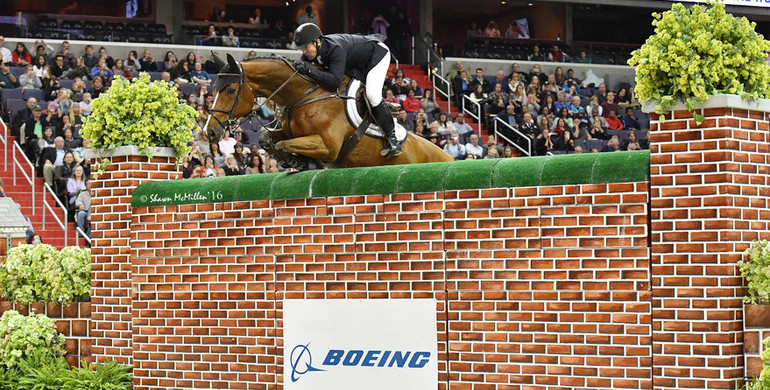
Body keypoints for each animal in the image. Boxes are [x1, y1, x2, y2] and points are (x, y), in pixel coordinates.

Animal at [206, 53, 456, 169]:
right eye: (214, 89)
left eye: (230, 90)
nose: (210, 131)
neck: (304, 96)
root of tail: (450, 158)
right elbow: (268, 139)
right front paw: (296, 162)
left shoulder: (328, 146)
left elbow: (283, 144)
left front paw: (298, 161)